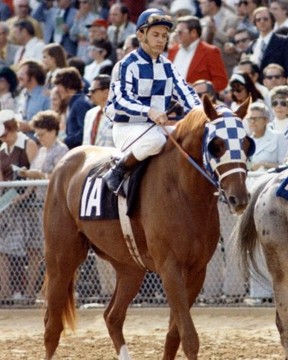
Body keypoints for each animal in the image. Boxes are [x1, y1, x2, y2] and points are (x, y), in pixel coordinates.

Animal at [43, 96, 254, 360]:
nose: (239, 198)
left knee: (112, 317)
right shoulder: (170, 268)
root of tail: (65, 162)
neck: (183, 191)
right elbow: (189, 337)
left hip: (130, 268)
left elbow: (174, 335)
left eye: (246, 143)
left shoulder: (197, 271)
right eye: (216, 144)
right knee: (52, 327)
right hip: (61, 260)